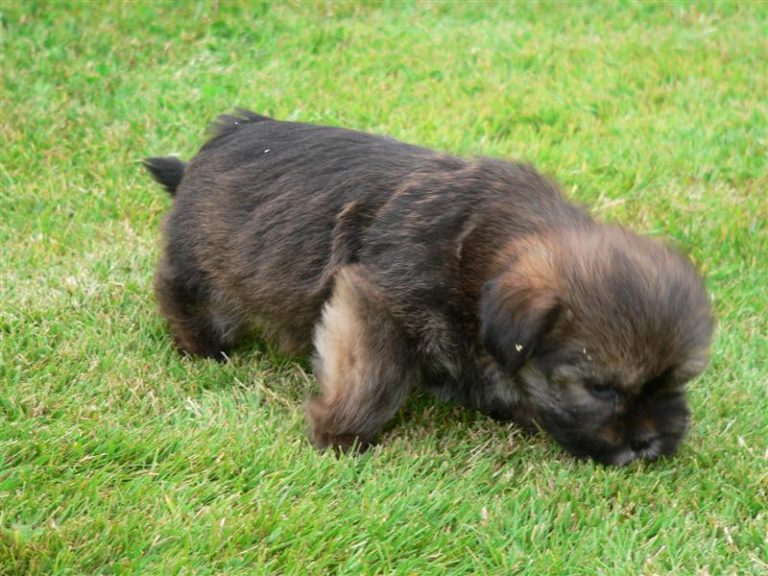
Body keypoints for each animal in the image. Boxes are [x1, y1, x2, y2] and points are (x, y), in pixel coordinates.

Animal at [146, 110, 712, 466]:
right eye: (601, 389)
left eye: (674, 382)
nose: (648, 443)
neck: (477, 259)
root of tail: (215, 144)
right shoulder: (372, 303)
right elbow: (371, 378)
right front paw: (338, 434)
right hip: (203, 267)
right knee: (183, 292)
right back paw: (203, 347)